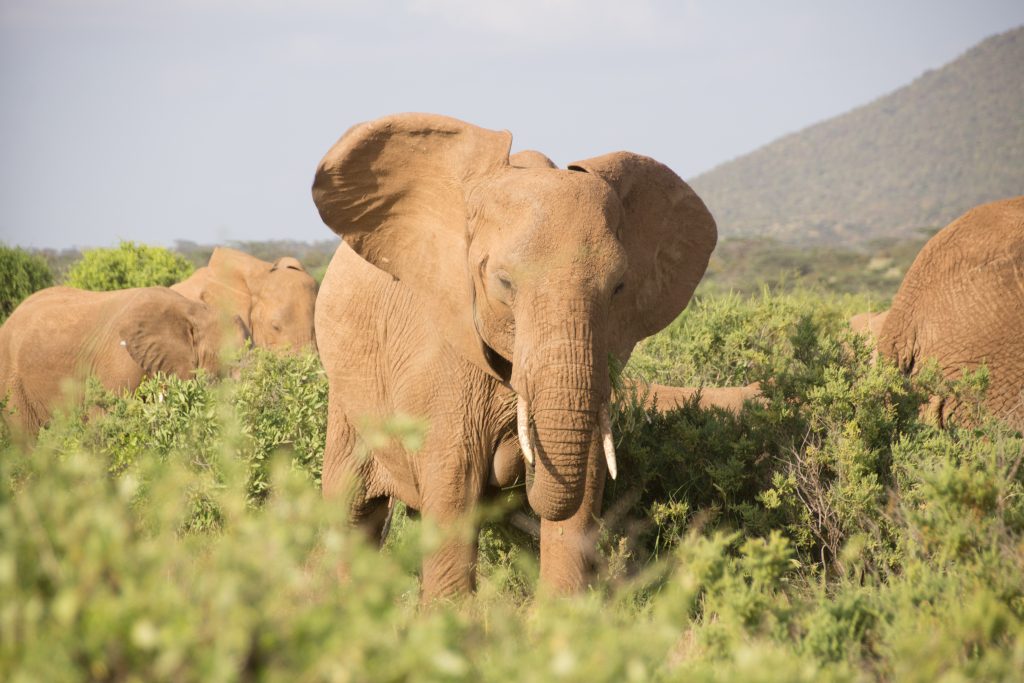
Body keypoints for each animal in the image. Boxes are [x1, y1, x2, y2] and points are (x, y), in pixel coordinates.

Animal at [311, 113, 720, 598]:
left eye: (619, 287)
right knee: (350, 509)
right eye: (503, 282)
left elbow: (585, 483)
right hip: (346, 398)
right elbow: (454, 485)